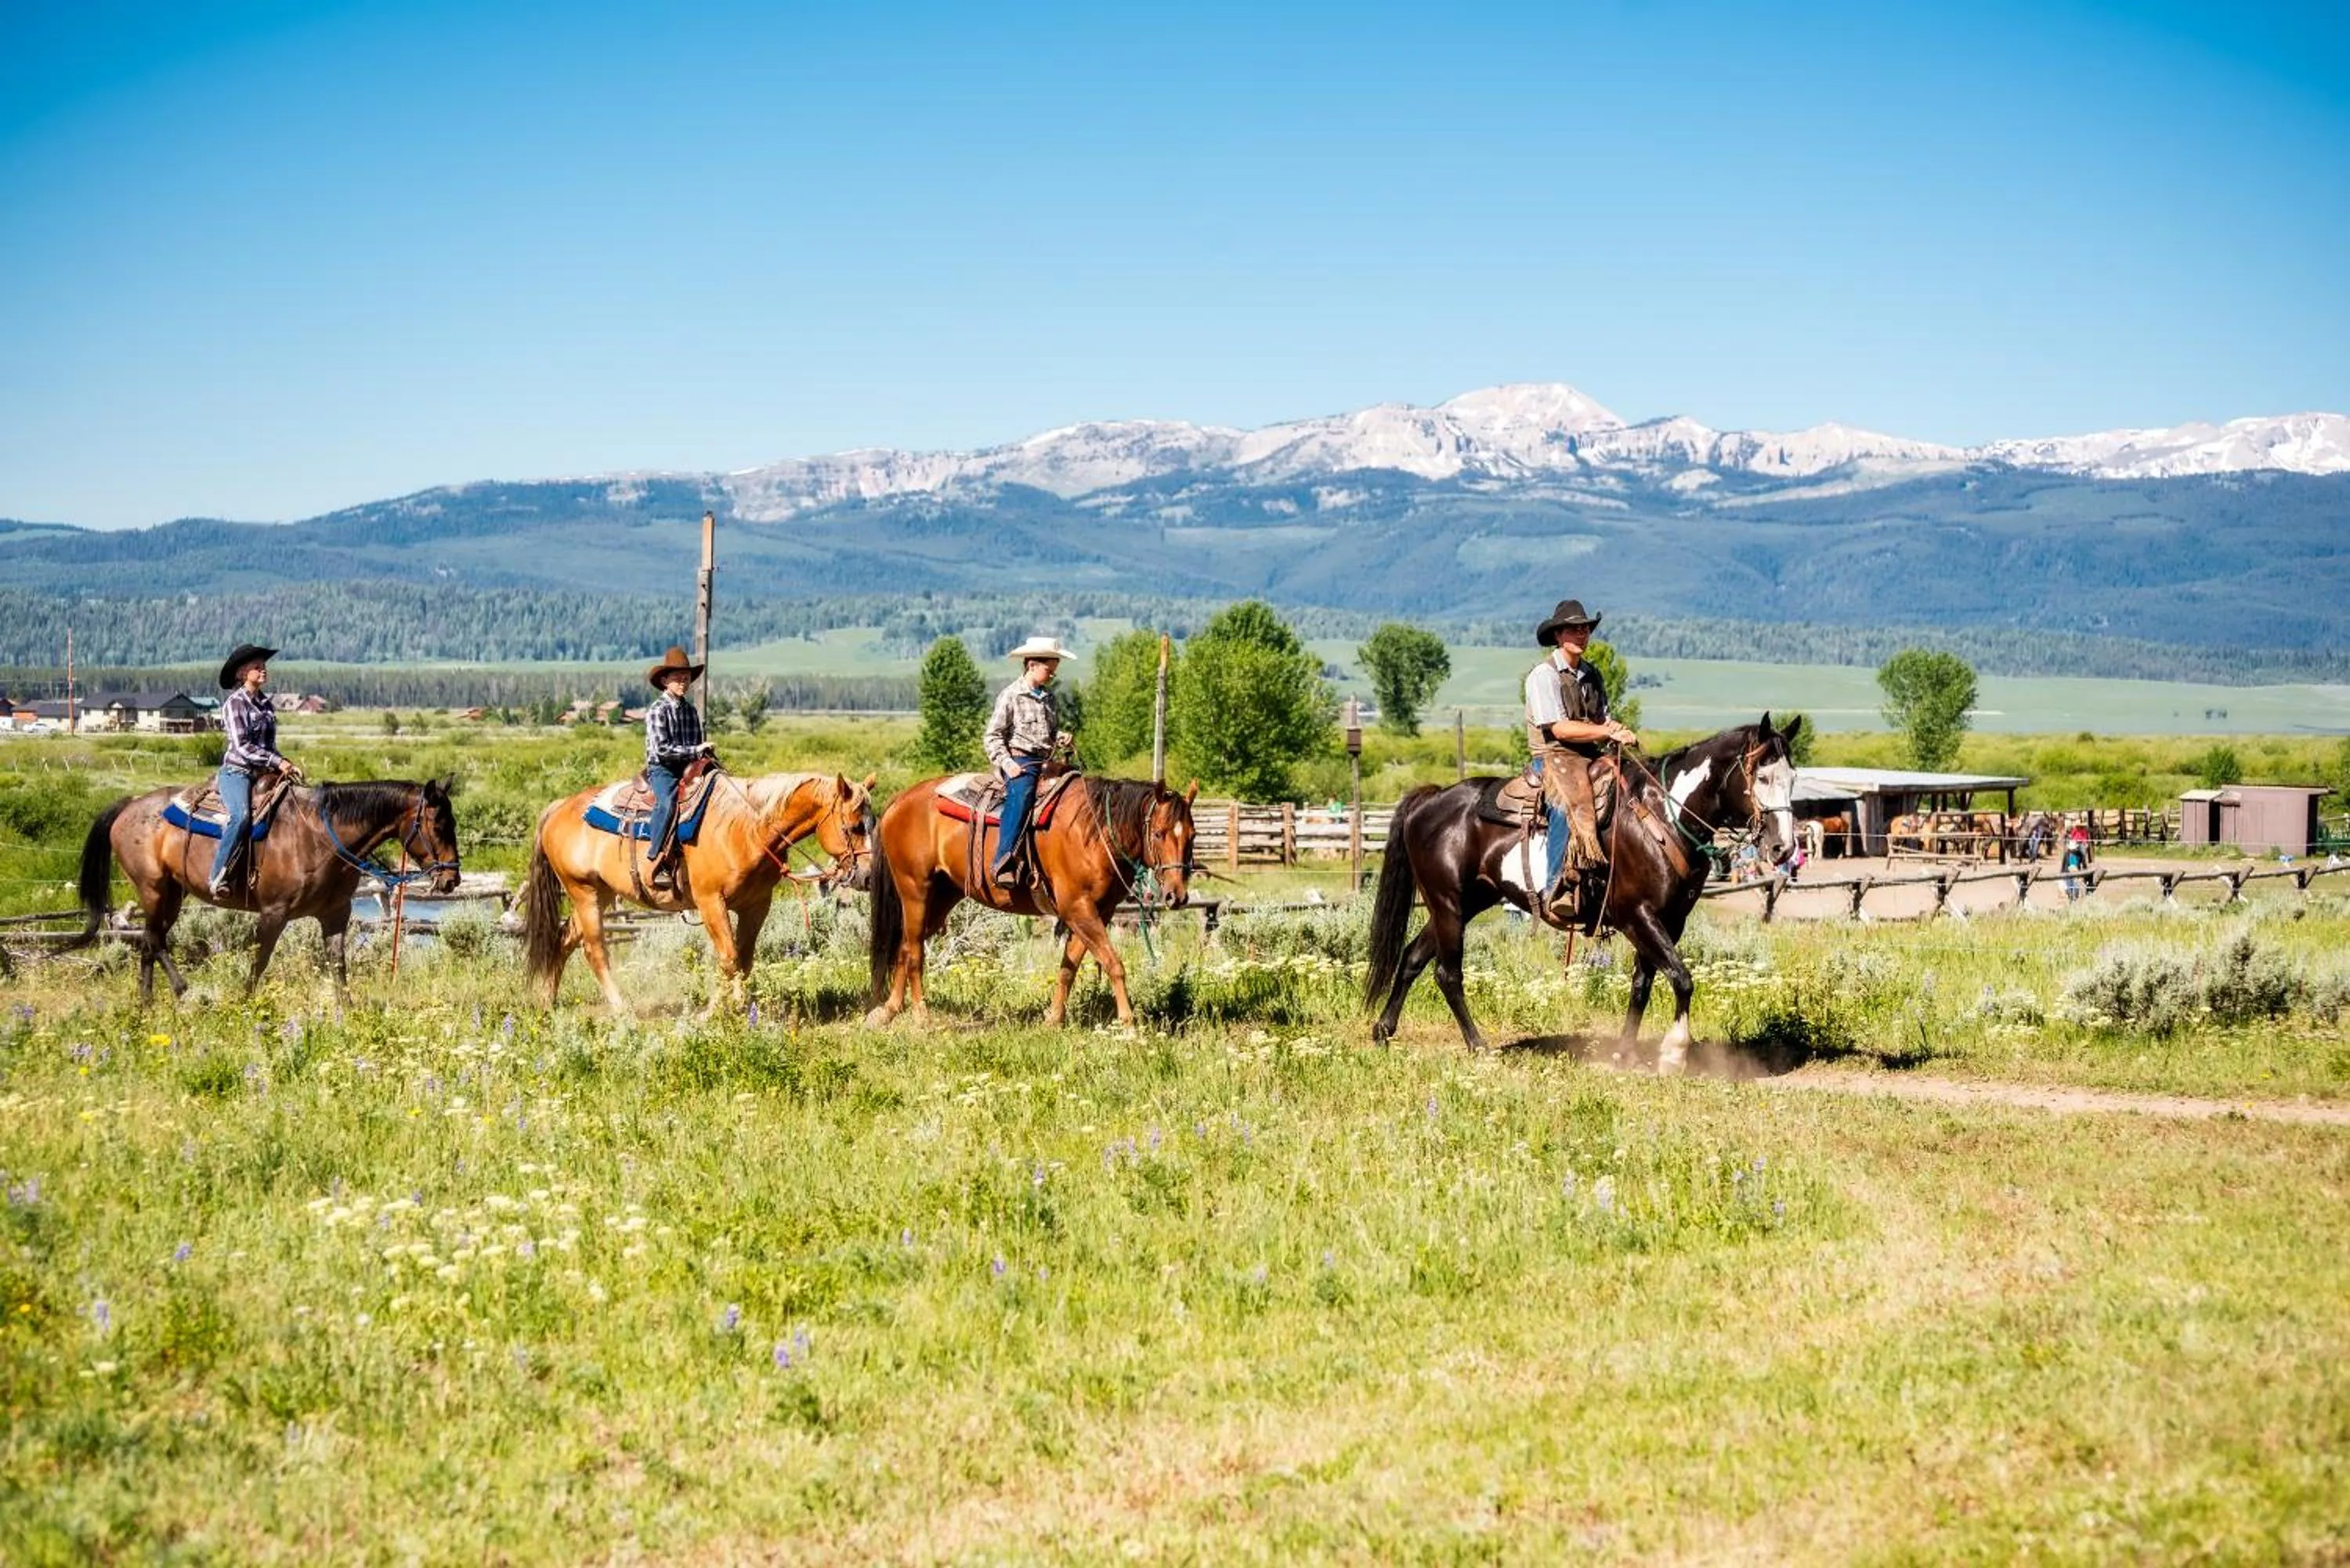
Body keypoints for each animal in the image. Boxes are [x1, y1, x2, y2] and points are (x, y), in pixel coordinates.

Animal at [66, 779, 462, 1001]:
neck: (319, 837)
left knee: (151, 941)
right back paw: (183, 991)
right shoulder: (274, 913)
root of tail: (129, 805)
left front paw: (347, 1012)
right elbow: (260, 962)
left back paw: (148, 1003)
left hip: (173, 893)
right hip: (153, 889)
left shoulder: (336, 914)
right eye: (438, 824)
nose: (451, 880)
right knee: (153, 940)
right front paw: (246, 1004)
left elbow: (338, 964)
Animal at [523, 770, 875, 1014]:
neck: (747, 830)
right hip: (583, 892)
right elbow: (729, 958)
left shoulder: (756, 905)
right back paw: (622, 1009)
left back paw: (546, 1000)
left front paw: (738, 1007)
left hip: (602, 893)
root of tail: (559, 807)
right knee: (594, 950)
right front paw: (719, 1011)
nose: (869, 876)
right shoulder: (710, 902)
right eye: (854, 826)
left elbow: (744, 959)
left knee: (564, 938)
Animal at [865, 774, 1197, 1029]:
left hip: (940, 898)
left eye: (1192, 836)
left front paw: (1054, 1019)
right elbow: (1114, 964)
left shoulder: (1096, 913)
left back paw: (889, 1011)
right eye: (1158, 833)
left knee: (905, 946)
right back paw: (922, 1016)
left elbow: (1068, 968)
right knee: (914, 952)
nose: (1177, 895)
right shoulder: (1078, 909)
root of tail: (899, 800)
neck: (1093, 831)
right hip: (915, 891)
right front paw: (1128, 1024)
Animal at [1365, 715, 1803, 1064]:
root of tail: (1432, 799)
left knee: (1412, 959)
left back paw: (1383, 1032)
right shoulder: (1637, 915)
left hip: (1465, 902)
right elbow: (1681, 977)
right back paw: (1477, 1046)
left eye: (1793, 779)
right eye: (1762, 777)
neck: (1664, 816)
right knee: (1447, 973)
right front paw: (1674, 1052)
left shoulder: (1670, 920)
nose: (1783, 848)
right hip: (1448, 903)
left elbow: (1643, 984)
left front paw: (1625, 1053)